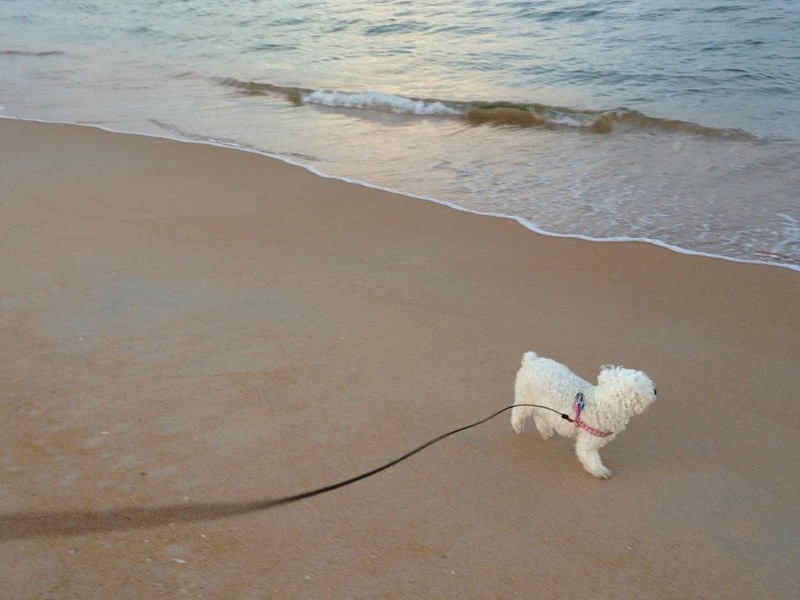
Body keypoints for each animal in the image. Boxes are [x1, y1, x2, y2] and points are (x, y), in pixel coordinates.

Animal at [512, 352, 656, 478]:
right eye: (648, 387)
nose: (656, 390)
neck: (602, 405)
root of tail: (532, 360)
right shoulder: (588, 442)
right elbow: (590, 457)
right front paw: (600, 471)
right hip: (525, 397)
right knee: (518, 412)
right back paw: (517, 426)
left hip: (542, 403)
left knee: (539, 416)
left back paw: (545, 431)